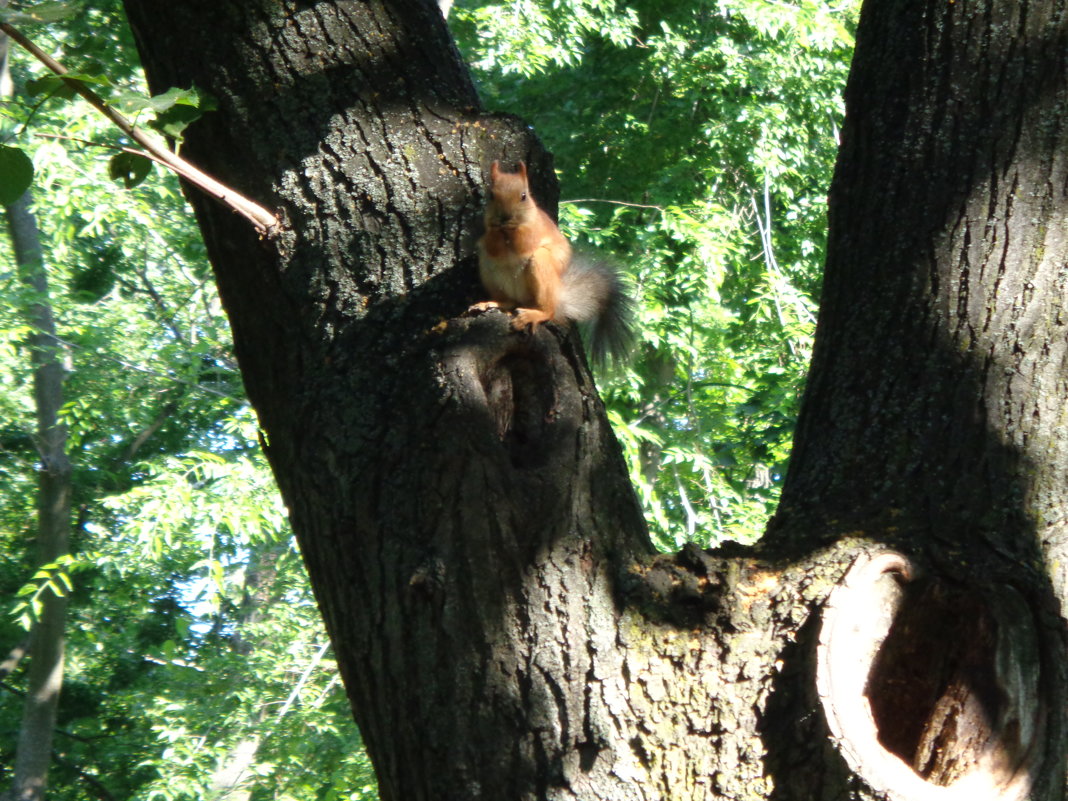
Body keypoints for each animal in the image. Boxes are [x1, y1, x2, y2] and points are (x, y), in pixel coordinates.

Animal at [472, 161, 627, 363]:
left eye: (524, 196)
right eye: (491, 195)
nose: (505, 217)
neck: (507, 234)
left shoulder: (536, 229)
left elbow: (524, 241)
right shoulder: (488, 234)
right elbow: (491, 242)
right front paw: (495, 232)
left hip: (541, 264)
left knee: (548, 311)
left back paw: (534, 315)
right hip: (488, 268)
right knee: (509, 301)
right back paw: (494, 303)